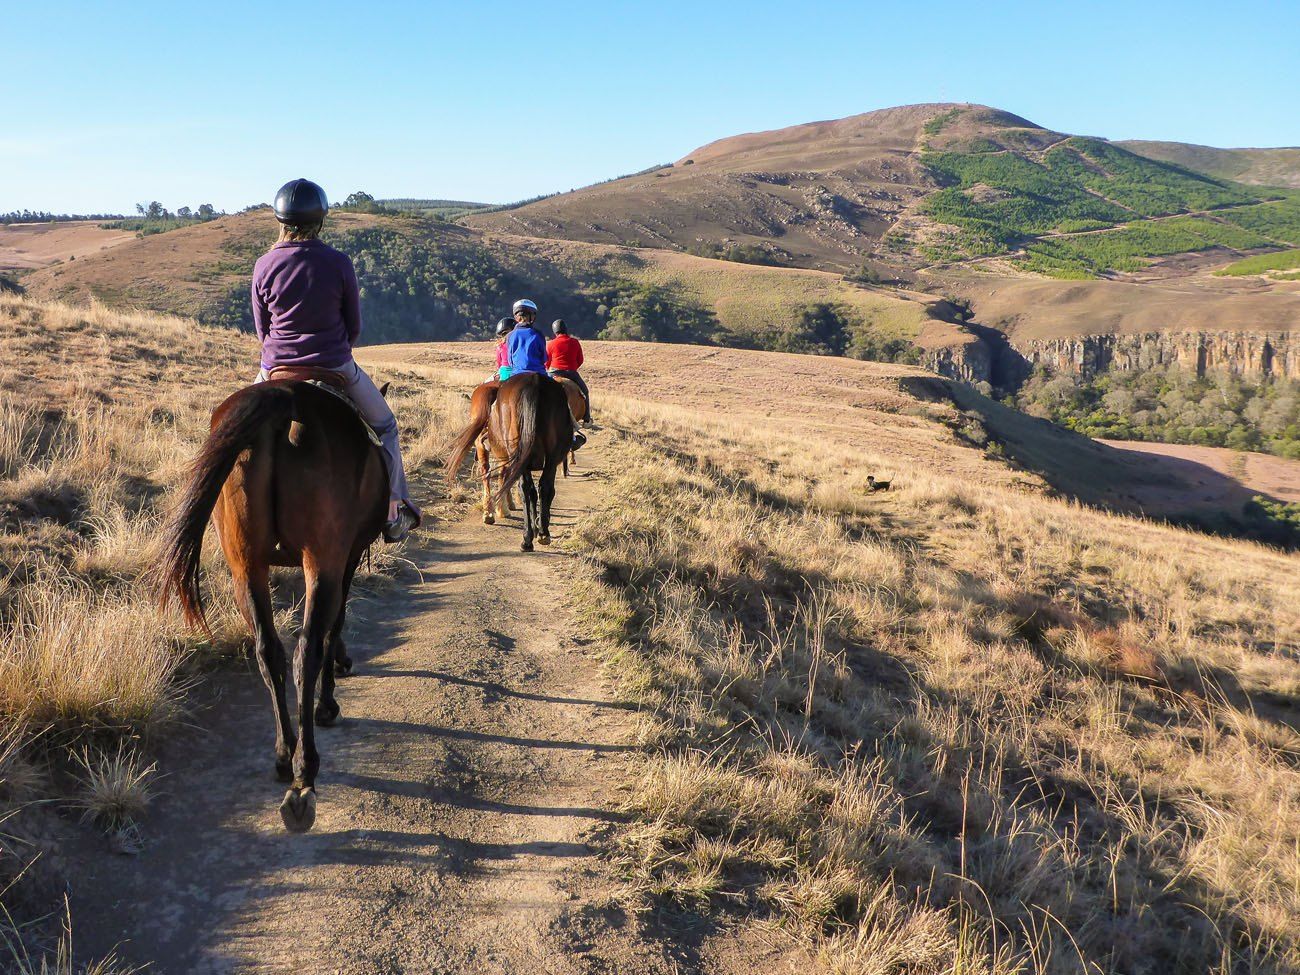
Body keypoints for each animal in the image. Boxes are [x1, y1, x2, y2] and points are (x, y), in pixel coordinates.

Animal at [156, 379, 384, 832]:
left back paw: (284, 756)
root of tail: (287, 397)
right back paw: (304, 773)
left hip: (246, 566)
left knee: (269, 651)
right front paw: (329, 699)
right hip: (320, 559)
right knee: (306, 651)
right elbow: (336, 625)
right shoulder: (347, 558)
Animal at [444, 371, 572, 551]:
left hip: (500, 450)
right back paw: (542, 534)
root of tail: (534, 382)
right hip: (550, 457)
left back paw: (521, 535)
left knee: (516, 485)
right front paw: (535, 525)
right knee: (542, 488)